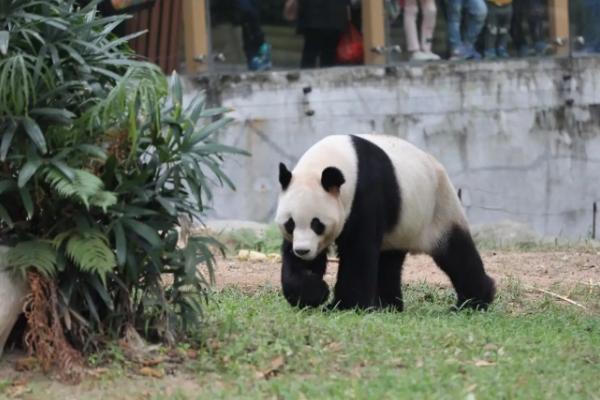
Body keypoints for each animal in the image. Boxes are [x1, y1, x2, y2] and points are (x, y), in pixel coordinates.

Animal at [274, 133, 494, 310]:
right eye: (290, 224)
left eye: (317, 224)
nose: (303, 251)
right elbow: (296, 264)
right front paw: (313, 292)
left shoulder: (366, 194)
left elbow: (358, 251)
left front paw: (344, 306)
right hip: (401, 227)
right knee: (389, 263)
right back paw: (388, 306)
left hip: (438, 210)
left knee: (456, 254)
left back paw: (474, 301)